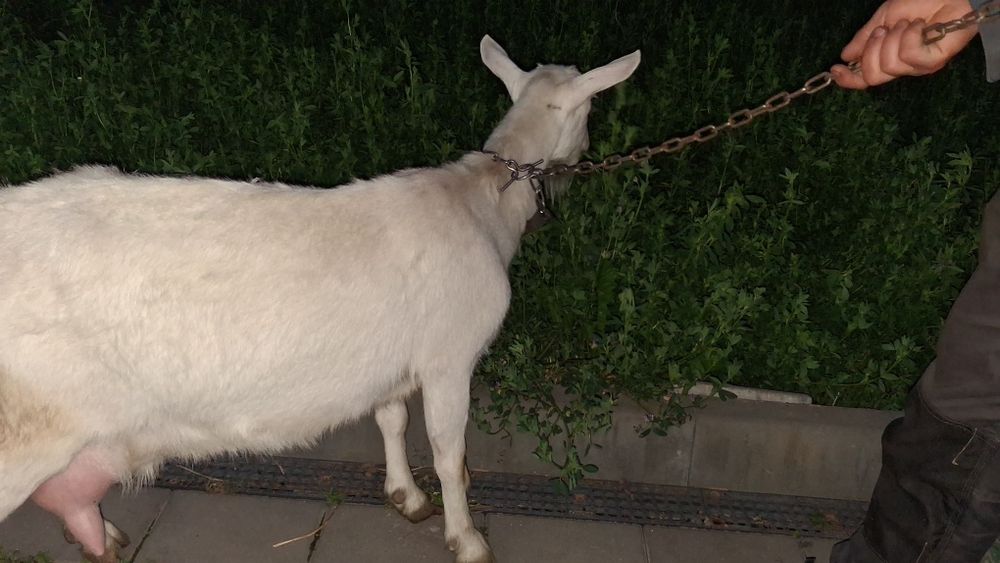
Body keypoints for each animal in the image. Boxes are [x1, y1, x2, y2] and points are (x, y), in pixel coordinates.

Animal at [0, 35, 640, 563]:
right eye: (590, 111)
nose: (583, 158)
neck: (483, 201)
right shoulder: (449, 357)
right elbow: (448, 452)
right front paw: (467, 539)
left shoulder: (390, 357)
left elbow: (390, 417)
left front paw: (405, 496)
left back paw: (100, 535)